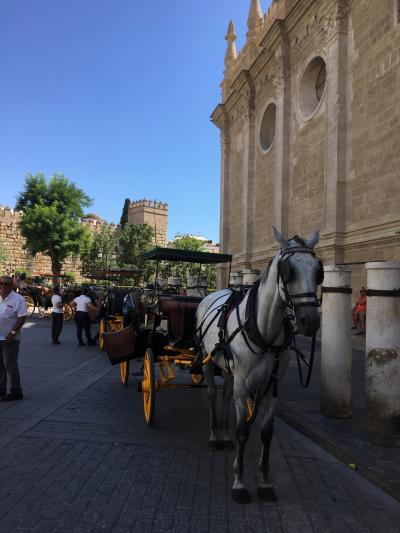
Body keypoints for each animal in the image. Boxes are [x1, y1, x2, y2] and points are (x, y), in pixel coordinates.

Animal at [195, 228, 324, 502]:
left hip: (229, 369)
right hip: (207, 360)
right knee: (212, 394)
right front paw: (239, 483)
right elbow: (243, 431)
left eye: (318, 271)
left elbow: (266, 432)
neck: (264, 330)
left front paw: (264, 482)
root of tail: (210, 294)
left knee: (225, 396)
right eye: (287, 271)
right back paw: (214, 435)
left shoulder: (273, 388)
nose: (309, 321)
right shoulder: (244, 385)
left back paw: (224, 436)